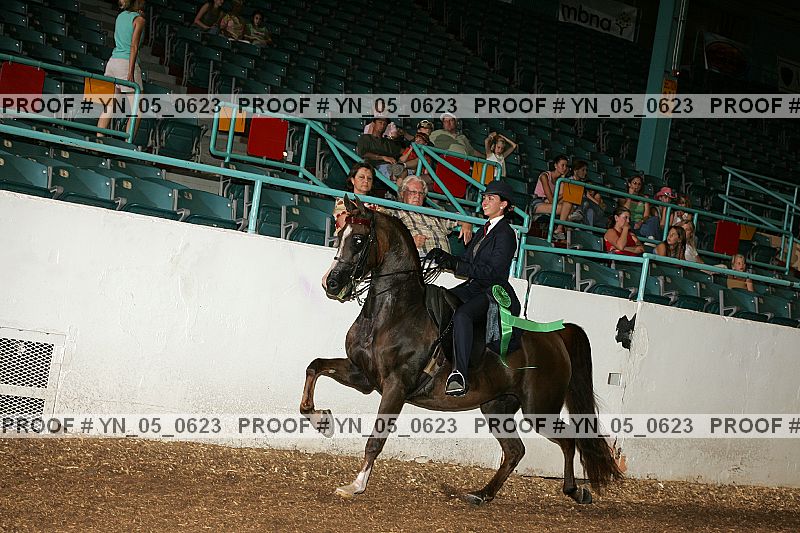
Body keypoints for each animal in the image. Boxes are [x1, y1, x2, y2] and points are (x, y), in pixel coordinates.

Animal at [301, 197, 622, 504]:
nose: (331, 283)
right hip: (497, 407)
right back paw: (482, 494)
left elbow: (375, 439)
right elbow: (314, 366)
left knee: (568, 441)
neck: (395, 312)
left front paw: (355, 486)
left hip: (539, 410)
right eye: (339, 234)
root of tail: (554, 336)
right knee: (515, 450)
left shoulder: (396, 386)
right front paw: (321, 419)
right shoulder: (363, 375)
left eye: (357, 240)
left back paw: (575, 491)